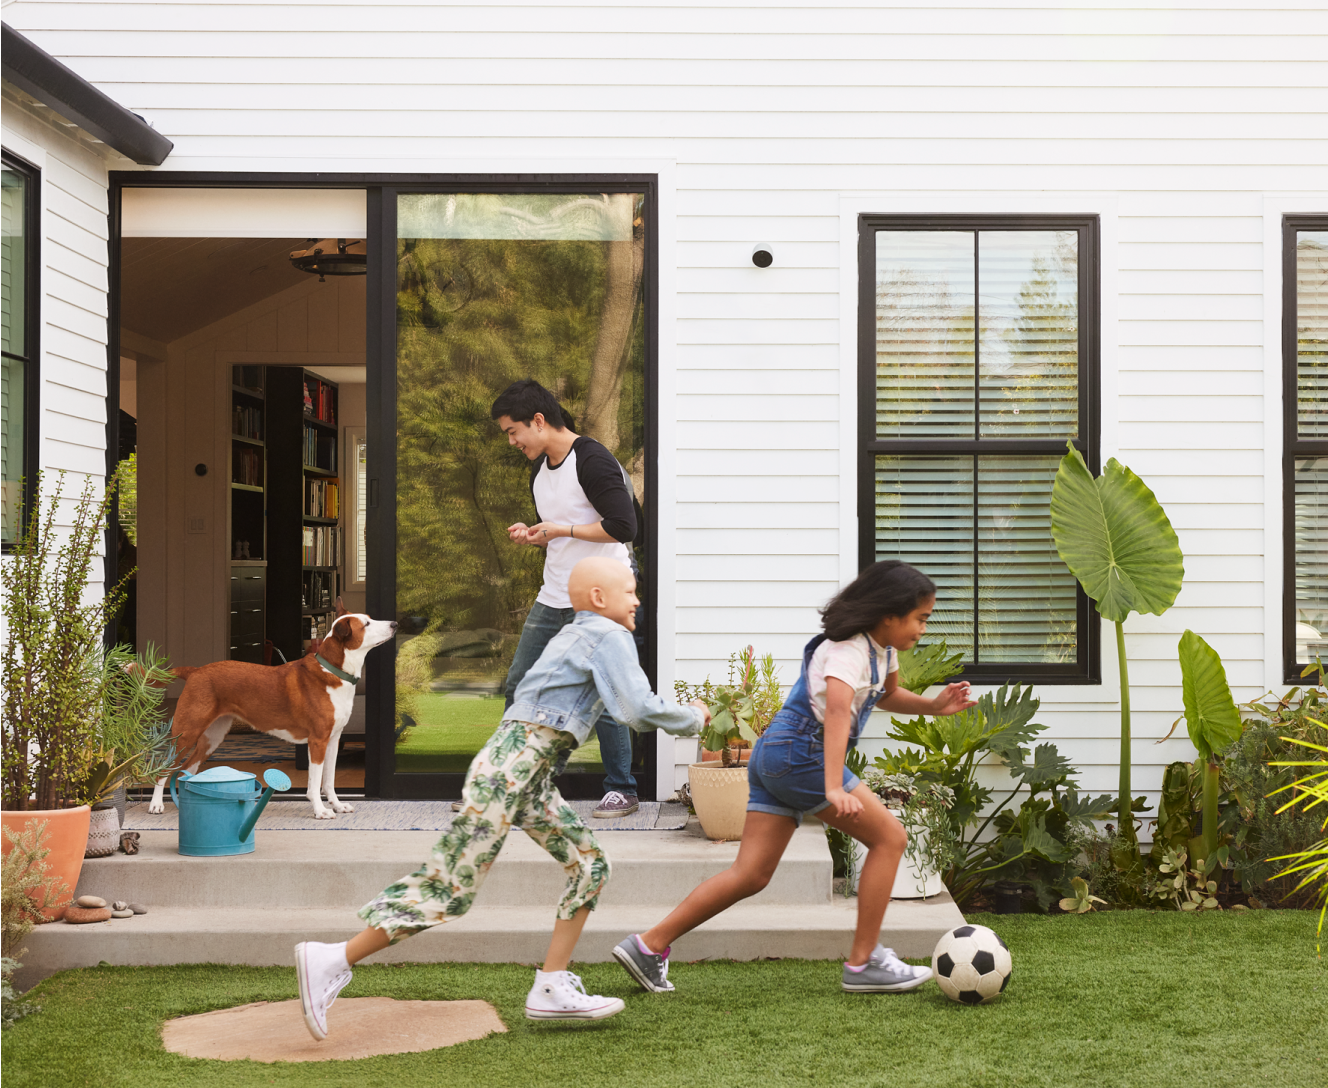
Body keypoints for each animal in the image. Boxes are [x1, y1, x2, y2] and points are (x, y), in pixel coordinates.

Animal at [150, 600, 395, 823]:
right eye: (367, 624)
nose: (394, 623)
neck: (334, 671)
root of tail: (195, 671)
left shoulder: (333, 739)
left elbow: (329, 780)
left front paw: (337, 805)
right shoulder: (317, 741)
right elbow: (314, 783)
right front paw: (320, 811)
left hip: (212, 737)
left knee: (187, 769)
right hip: (187, 733)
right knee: (164, 769)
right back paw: (156, 804)